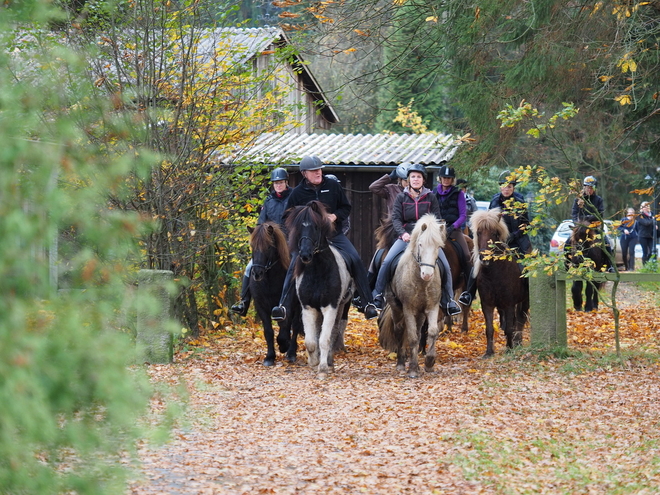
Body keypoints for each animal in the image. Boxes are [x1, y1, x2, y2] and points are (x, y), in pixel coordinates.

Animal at [246, 223, 302, 366]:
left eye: (268, 247)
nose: (257, 274)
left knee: (295, 326)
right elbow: (268, 331)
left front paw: (284, 346)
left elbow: (285, 327)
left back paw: (291, 352)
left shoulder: (285, 305)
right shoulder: (261, 305)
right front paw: (270, 357)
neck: (270, 280)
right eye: (252, 246)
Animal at [284, 202, 354, 380]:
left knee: (334, 332)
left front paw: (323, 368)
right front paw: (314, 362)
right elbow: (310, 341)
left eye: (316, 227)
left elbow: (325, 339)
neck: (317, 271)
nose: (305, 255)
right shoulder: (308, 308)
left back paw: (329, 362)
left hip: (341, 306)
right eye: (298, 227)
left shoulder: (330, 307)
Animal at [378, 214, 446, 380]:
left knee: (419, 330)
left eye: (438, 247)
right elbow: (412, 337)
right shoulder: (408, 309)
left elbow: (432, 332)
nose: (427, 274)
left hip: (420, 313)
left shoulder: (432, 307)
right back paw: (401, 363)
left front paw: (429, 363)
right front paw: (413, 369)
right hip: (396, 307)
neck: (421, 282)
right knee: (399, 329)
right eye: (420, 244)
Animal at [472, 208, 528, 356]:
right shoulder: (487, 305)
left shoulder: (509, 304)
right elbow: (490, 329)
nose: (484, 257)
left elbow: (509, 327)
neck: (493, 275)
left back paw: (517, 342)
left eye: (494, 233)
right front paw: (489, 352)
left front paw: (509, 348)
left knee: (520, 320)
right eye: (478, 232)